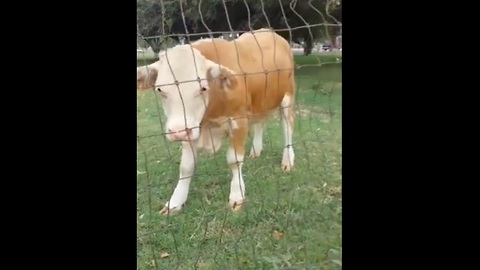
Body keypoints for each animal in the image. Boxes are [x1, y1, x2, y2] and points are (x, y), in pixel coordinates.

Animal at [133, 27, 294, 213]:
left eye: (203, 88)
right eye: (160, 89)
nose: (178, 131)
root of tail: (268, 30)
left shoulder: (238, 121)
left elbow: (234, 160)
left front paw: (237, 195)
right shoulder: (192, 128)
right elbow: (186, 166)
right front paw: (175, 202)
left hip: (287, 97)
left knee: (288, 128)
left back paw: (288, 160)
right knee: (260, 123)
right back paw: (256, 150)